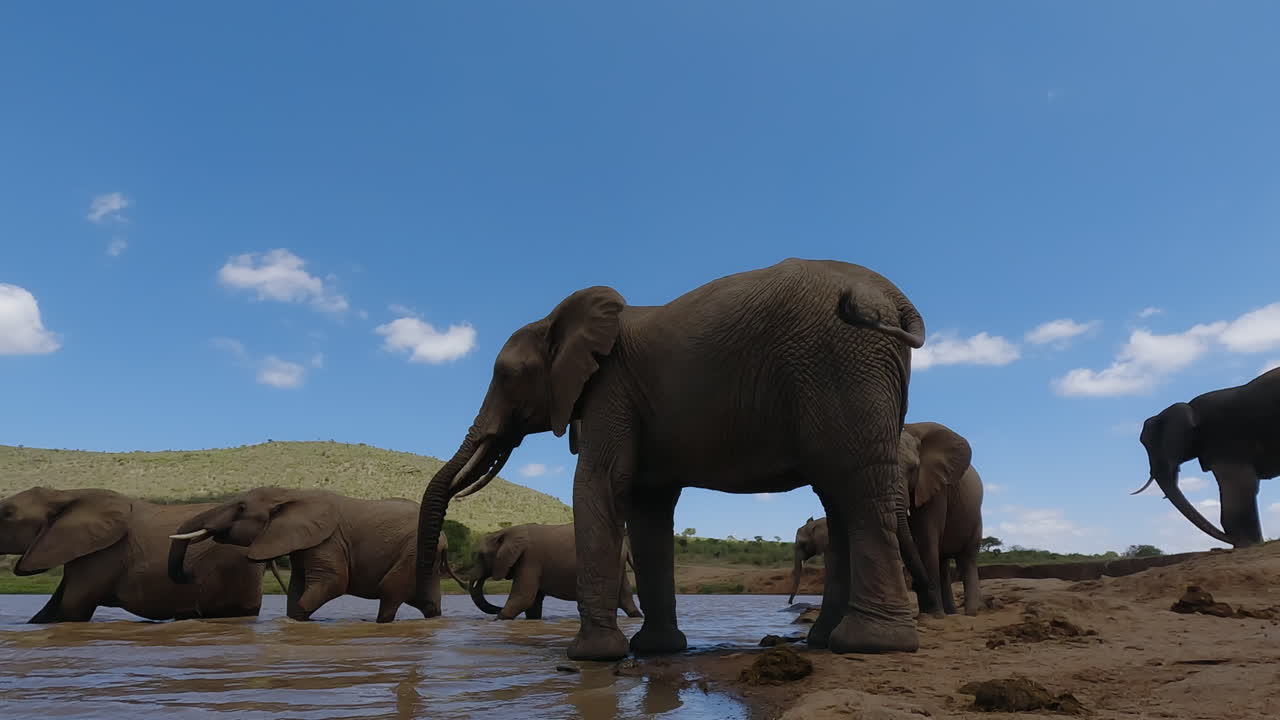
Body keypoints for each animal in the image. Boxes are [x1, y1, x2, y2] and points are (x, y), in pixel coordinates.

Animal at [0, 487, 275, 623]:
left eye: (7, 513)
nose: (188, 575)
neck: (63, 494)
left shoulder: (104, 555)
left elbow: (71, 610)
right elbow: (51, 610)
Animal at [168, 488, 464, 623]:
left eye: (241, 508)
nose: (187, 575)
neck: (290, 494)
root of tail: (445, 538)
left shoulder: (327, 541)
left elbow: (332, 583)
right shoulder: (303, 544)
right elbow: (297, 587)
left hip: (410, 551)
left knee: (390, 592)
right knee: (427, 602)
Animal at [468, 522, 643, 619]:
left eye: (481, 556)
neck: (508, 532)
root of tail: (626, 547)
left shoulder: (530, 559)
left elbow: (524, 597)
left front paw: (498, 619)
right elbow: (533, 603)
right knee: (624, 596)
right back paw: (636, 616)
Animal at [898, 421, 984, 616]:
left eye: (913, 468)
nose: (914, 585)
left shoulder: (937, 488)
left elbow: (926, 538)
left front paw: (933, 616)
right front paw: (931, 614)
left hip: (975, 518)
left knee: (967, 559)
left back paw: (969, 614)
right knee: (943, 561)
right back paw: (951, 613)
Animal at [1133, 367, 1280, 548]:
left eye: (1149, 443)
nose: (1233, 541)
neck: (1189, 408)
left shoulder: (1224, 440)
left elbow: (1241, 485)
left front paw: (1247, 544)